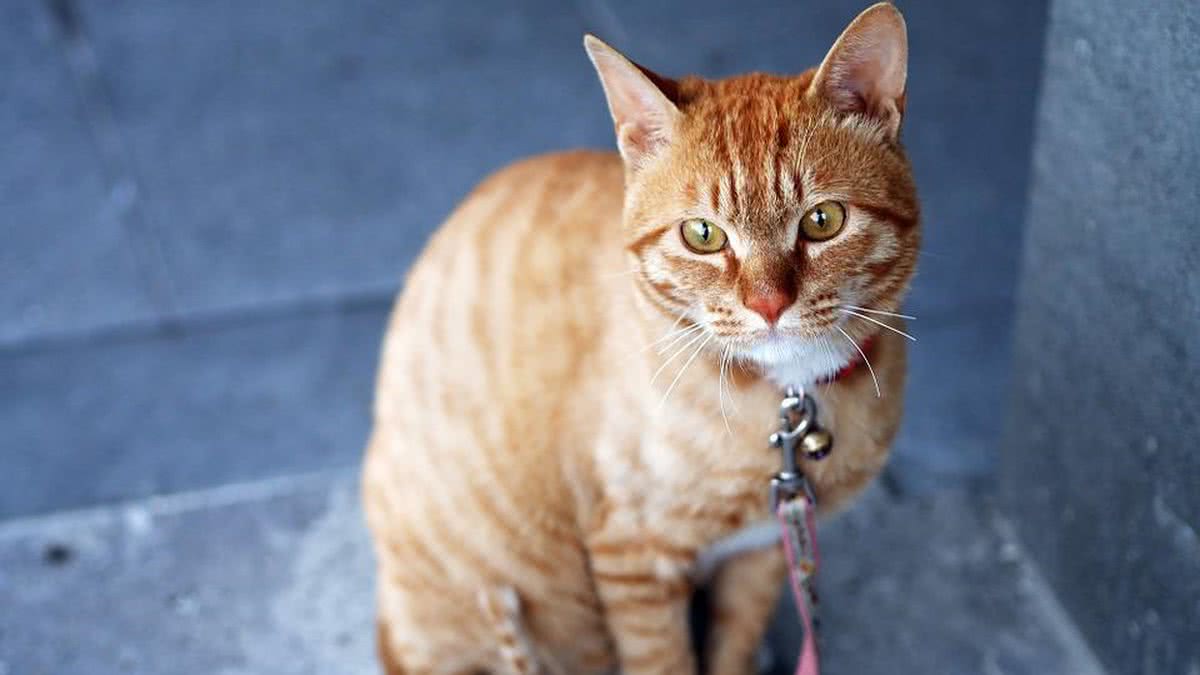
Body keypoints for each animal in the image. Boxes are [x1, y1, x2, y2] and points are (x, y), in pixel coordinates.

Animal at [362, 2, 916, 667]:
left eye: (823, 221)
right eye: (702, 235)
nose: (768, 304)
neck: (787, 400)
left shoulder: (762, 548)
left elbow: (734, 640)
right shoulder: (633, 557)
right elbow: (664, 662)